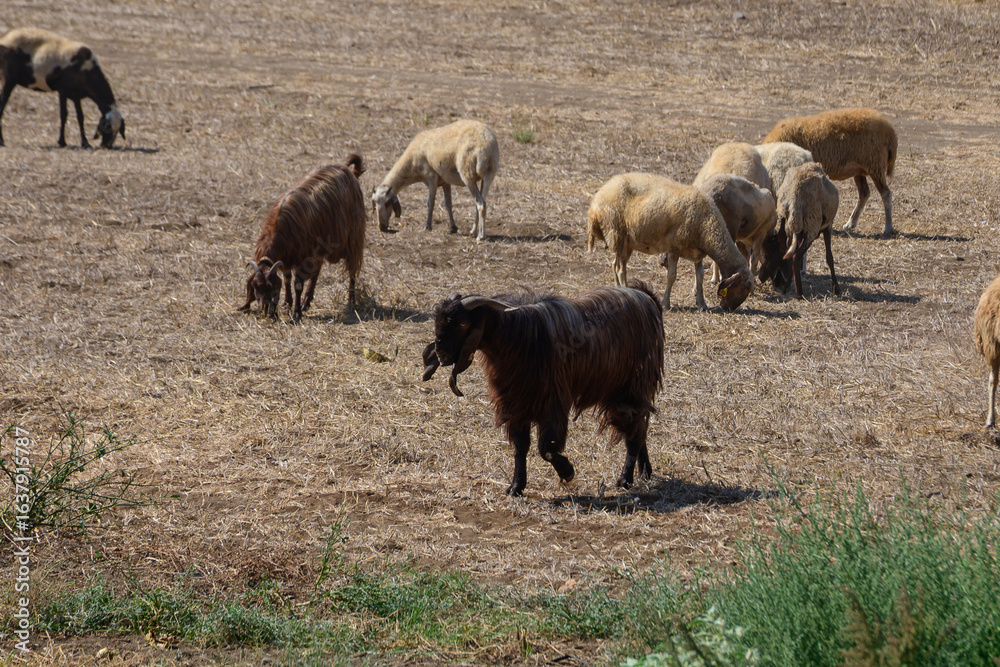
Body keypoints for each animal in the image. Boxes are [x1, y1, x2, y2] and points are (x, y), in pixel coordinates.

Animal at [241, 154, 367, 323]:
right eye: (255, 287)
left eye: (273, 288)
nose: (265, 310)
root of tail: (349, 170)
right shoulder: (289, 256)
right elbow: (287, 278)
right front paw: (288, 303)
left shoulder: (304, 256)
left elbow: (297, 284)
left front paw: (295, 314)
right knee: (317, 271)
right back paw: (306, 301)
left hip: (354, 237)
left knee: (352, 269)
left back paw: (351, 301)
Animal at [421, 283, 664, 497]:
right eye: (438, 322)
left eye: (462, 324)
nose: (440, 353)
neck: (519, 336)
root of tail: (645, 297)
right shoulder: (515, 405)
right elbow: (520, 448)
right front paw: (516, 487)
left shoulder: (552, 404)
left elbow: (546, 449)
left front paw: (567, 471)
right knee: (638, 427)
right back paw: (644, 472)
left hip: (631, 388)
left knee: (634, 430)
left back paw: (626, 479)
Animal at [587, 172, 754, 311]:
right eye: (744, 288)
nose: (729, 308)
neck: (708, 226)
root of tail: (595, 204)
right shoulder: (675, 247)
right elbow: (672, 276)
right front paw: (666, 303)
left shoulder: (697, 252)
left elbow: (699, 276)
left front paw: (702, 303)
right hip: (617, 234)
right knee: (620, 268)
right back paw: (625, 290)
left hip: (627, 243)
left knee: (616, 265)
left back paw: (618, 289)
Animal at [758, 162, 840, 299]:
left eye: (768, 254)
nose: (761, 277)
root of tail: (794, 199)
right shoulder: (827, 227)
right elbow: (829, 257)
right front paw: (836, 288)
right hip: (812, 227)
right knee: (796, 256)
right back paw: (799, 293)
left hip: (788, 221)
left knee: (790, 252)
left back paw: (787, 288)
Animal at [762, 107, 897, 237]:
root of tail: (890, 130)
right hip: (859, 169)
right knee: (864, 193)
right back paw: (850, 223)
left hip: (875, 166)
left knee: (886, 194)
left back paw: (888, 228)